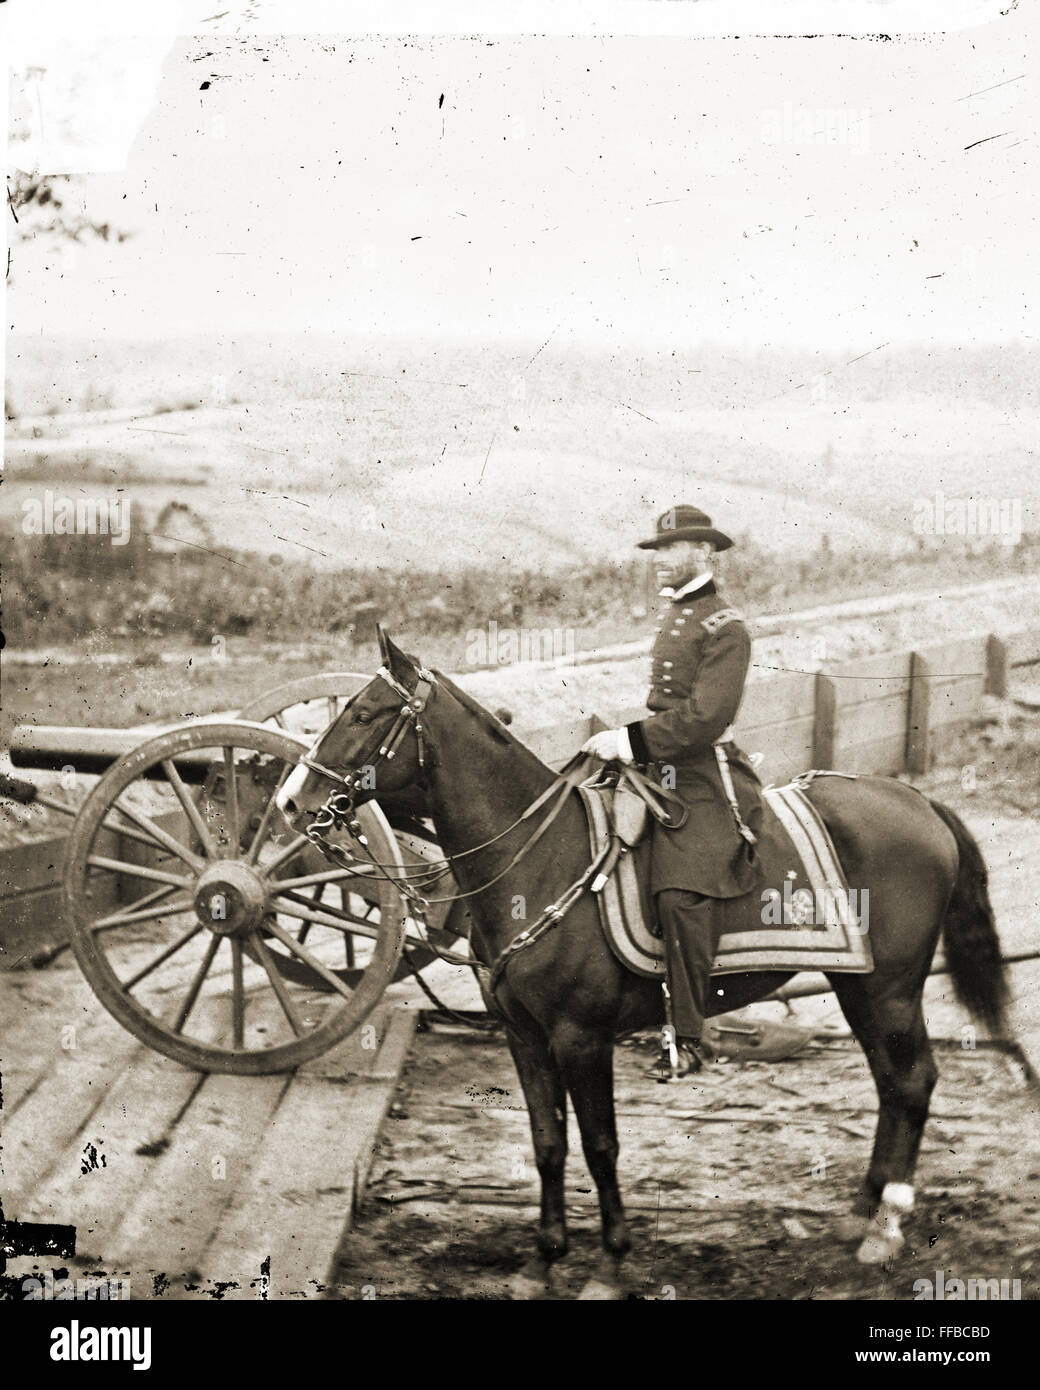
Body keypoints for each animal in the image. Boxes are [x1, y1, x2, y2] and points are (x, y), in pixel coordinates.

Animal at [276, 636, 1006, 1295]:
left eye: (362, 715)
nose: (289, 800)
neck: (540, 858)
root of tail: (920, 801)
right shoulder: (524, 1036)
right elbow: (548, 1141)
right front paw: (542, 1261)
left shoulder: (581, 1037)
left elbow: (601, 1147)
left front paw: (609, 1264)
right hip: (859, 986)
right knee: (890, 1084)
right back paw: (861, 1214)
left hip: (890, 989)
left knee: (912, 1080)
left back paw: (887, 1225)